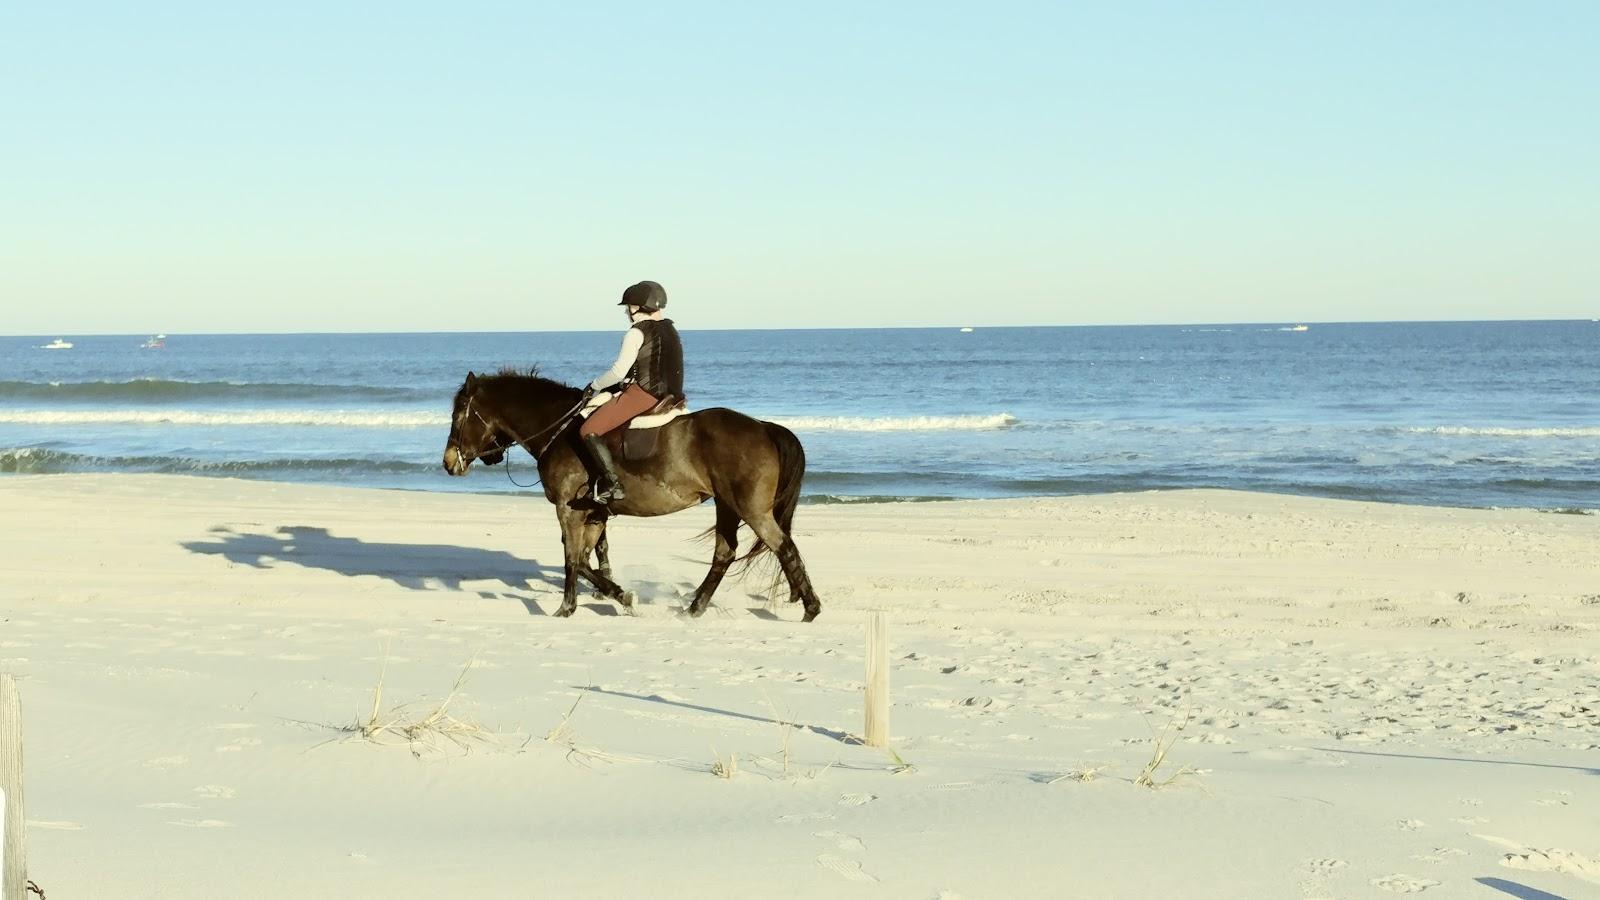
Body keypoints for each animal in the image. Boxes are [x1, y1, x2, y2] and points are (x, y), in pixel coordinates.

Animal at [441, 368, 825, 621]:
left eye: (458, 416)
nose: (448, 462)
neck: (560, 429)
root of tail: (763, 427)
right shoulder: (594, 513)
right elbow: (586, 559)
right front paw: (620, 596)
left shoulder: (569, 510)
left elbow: (573, 559)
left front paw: (567, 608)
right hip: (727, 505)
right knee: (725, 553)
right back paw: (694, 608)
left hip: (750, 508)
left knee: (782, 546)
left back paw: (811, 608)